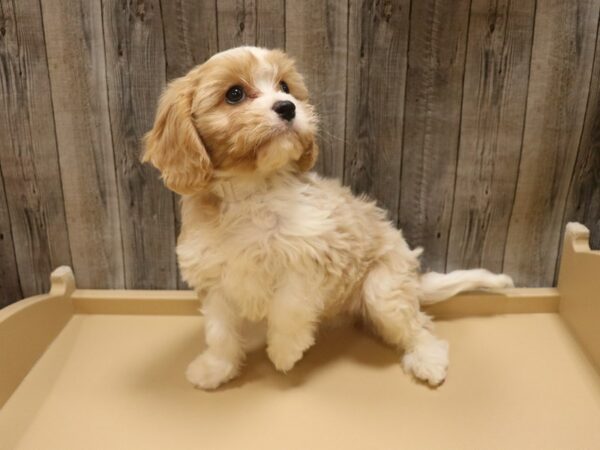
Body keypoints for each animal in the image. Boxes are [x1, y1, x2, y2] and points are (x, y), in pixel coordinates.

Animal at [141, 47, 510, 388]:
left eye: (285, 86)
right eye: (234, 94)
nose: (287, 106)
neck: (251, 190)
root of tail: (413, 278)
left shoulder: (310, 256)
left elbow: (288, 307)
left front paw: (284, 351)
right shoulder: (214, 279)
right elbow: (219, 331)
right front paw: (216, 368)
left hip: (383, 290)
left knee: (418, 325)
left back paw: (428, 358)